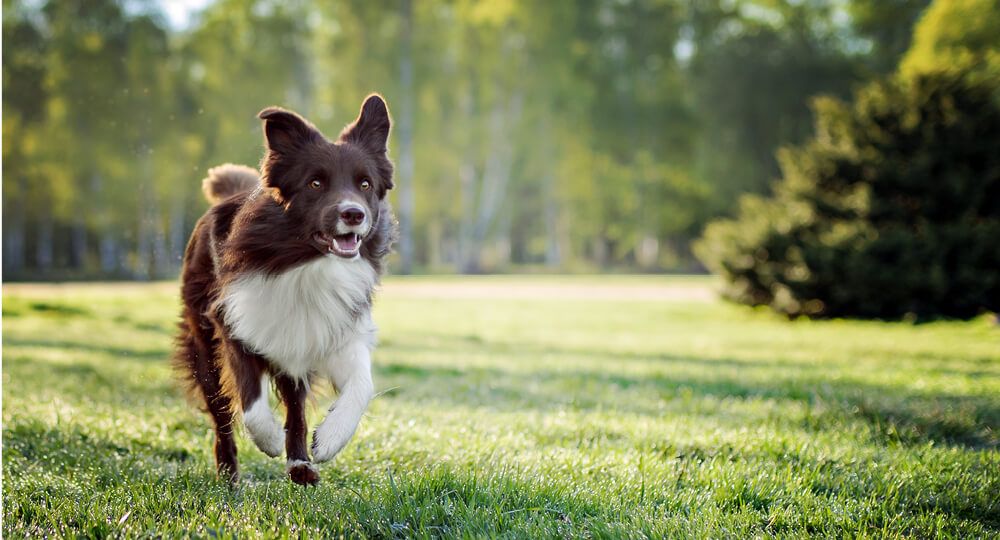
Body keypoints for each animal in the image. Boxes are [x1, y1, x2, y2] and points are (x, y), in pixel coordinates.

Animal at [174, 95, 396, 488]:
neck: (307, 264)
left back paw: (300, 464)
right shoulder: (236, 321)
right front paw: (268, 438)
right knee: (222, 414)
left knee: (295, 405)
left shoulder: (337, 330)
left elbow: (362, 385)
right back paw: (230, 475)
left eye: (365, 184)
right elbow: (250, 399)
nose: (354, 214)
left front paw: (330, 439)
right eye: (316, 183)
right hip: (204, 345)